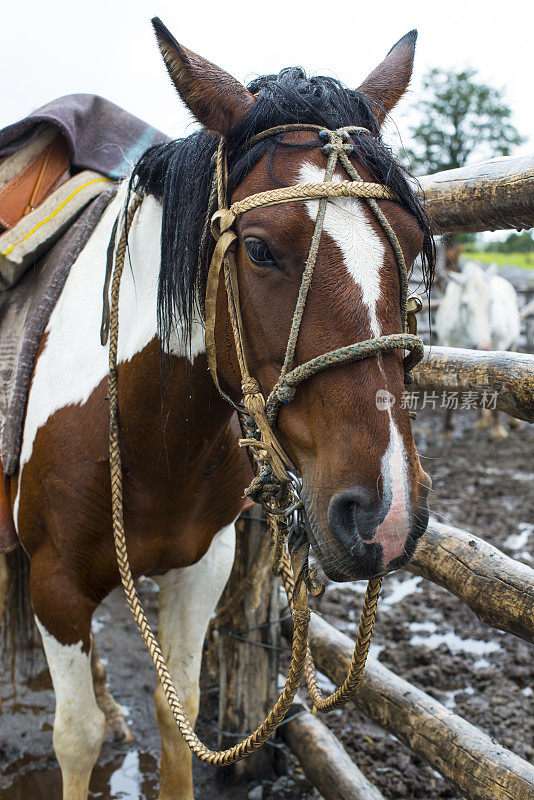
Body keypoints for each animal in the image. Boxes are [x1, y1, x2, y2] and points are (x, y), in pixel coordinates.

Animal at [3, 18, 436, 800]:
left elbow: (176, 712)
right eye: (259, 250)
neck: (148, 427)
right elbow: (74, 738)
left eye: (412, 244)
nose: (385, 513)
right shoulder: (56, 585)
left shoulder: (200, 569)